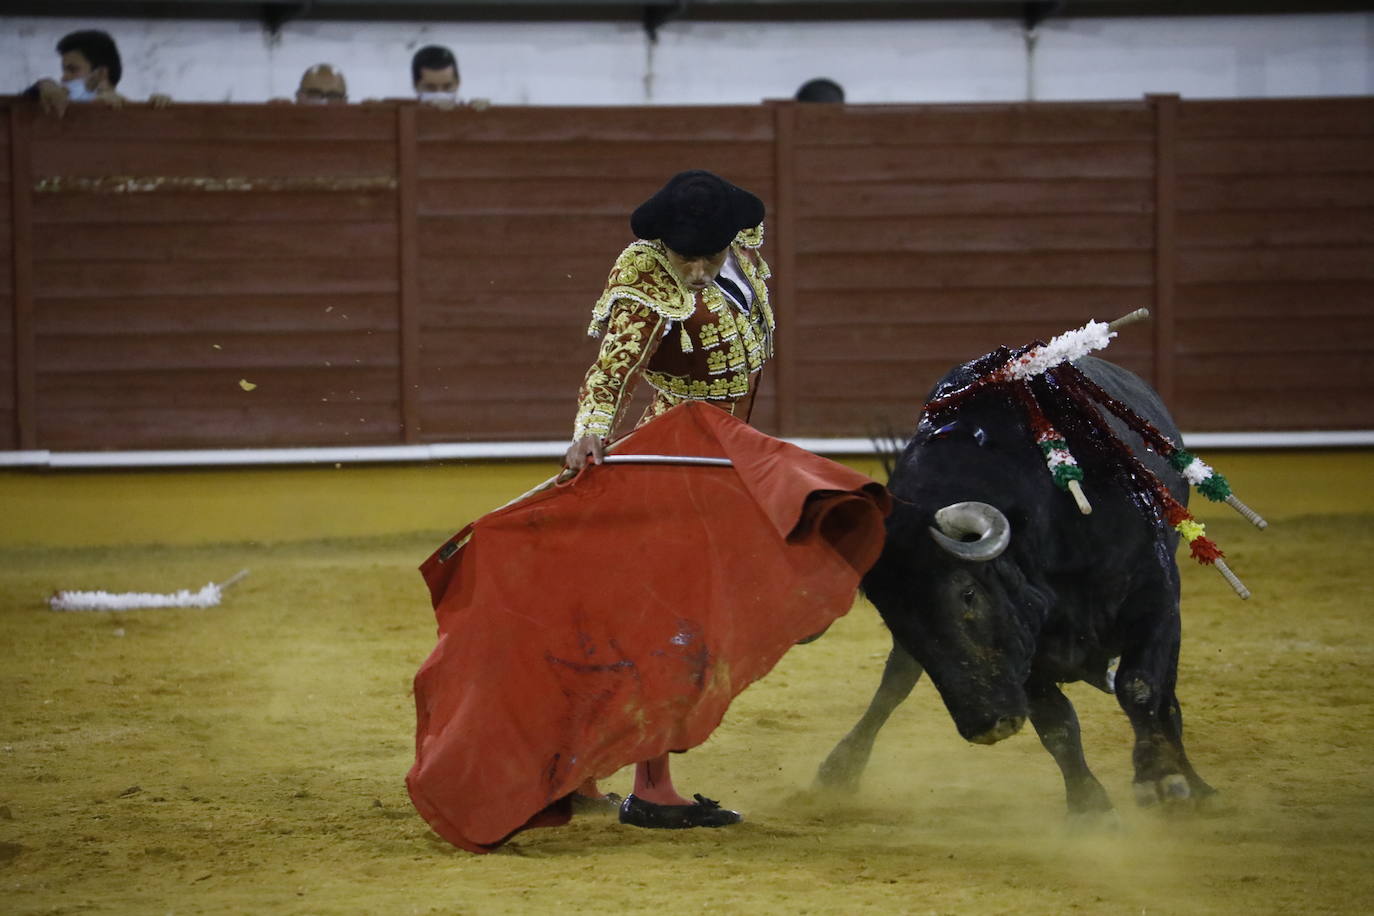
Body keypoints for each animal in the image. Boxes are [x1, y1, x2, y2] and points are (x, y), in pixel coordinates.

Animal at [813, 354, 1214, 813]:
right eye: (894, 620)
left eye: (968, 594)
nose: (988, 724)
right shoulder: (1024, 647)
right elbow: (1057, 723)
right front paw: (1088, 806)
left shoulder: (1155, 600)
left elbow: (1142, 687)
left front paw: (1162, 777)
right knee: (895, 682)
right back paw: (840, 768)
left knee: (1165, 700)